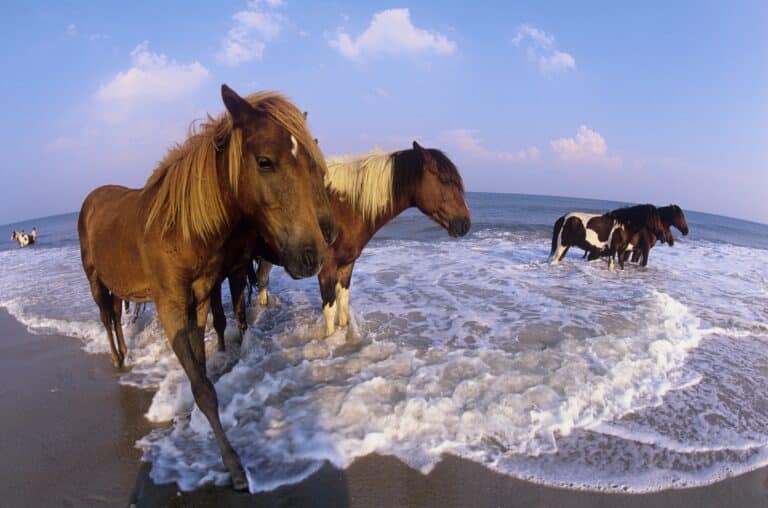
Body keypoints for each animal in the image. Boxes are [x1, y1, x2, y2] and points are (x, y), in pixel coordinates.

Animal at [77, 84, 336, 490]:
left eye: (312, 165)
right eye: (265, 162)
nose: (313, 252)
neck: (179, 230)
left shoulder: (198, 300)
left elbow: (202, 370)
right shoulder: (170, 307)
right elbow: (202, 385)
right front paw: (232, 464)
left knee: (117, 319)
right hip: (95, 280)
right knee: (106, 318)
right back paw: (118, 359)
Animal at [210, 141, 471, 342]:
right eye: (445, 180)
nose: (465, 224)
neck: (345, 208)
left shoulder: (347, 264)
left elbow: (343, 303)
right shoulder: (325, 268)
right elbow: (330, 308)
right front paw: (329, 339)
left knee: (262, 281)